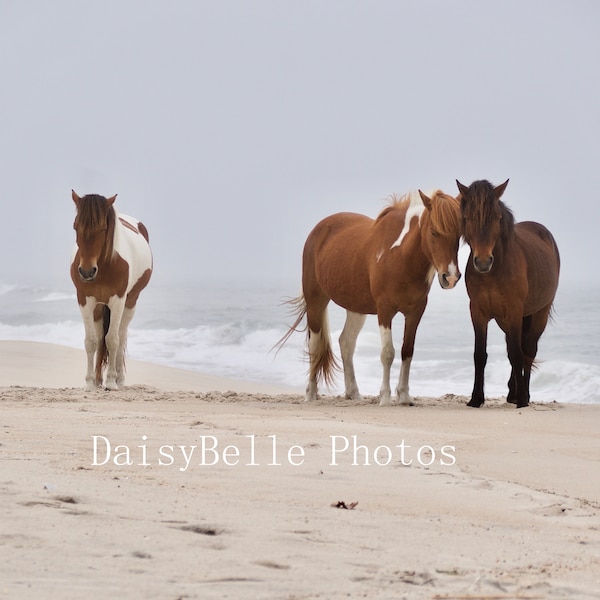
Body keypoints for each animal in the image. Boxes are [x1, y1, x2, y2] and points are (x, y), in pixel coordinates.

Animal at [70, 190, 152, 392]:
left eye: (103, 228)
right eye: (76, 226)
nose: (86, 272)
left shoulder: (118, 300)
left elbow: (113, 340)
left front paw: (111, 382)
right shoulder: (85, 300)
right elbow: (92, 341)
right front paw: (90, 383)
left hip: (130, 302)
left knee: (121, 337)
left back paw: (119, 380)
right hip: (99, 307)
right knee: (100, 338)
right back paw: (99, 379)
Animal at [278, 191, 462, 408]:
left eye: (459, 235)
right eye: (434, 232)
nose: (451, 277)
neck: (401, 255)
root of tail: (319, 229)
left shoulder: (415, 312)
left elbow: (407, 351)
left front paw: (404, 396)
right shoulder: (384, 310)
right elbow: (388, 353)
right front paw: (385, 397)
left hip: (356, 307)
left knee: (346, 343)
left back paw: (353, 393)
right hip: (316, 301)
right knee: (315, 346)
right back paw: (310, 395)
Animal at [458, 178, 560, 408]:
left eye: (496, 218)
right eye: (467, 218)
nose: (483, 262)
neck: (493, 273)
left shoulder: (514, 310)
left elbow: (517, 354)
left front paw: (522, 399)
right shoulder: (478, 312)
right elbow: (480, 355)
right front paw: (476, 398)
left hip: (538, 313)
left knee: (527, 350)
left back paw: (524, 395)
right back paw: (512, 393)